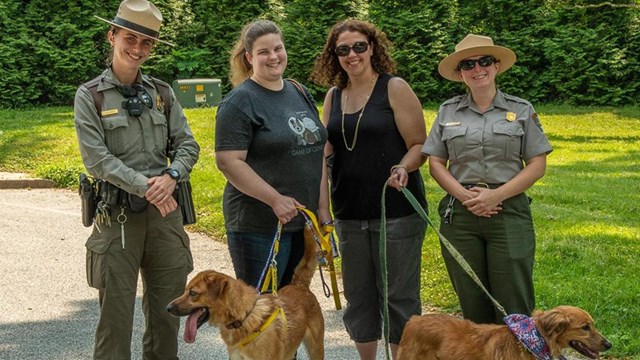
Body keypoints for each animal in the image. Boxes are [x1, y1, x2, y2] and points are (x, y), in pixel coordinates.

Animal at [166, 225, 324, 360]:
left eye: (192, 293)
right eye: (185, 290)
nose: (167, 308)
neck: (243, 318)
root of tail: (299, 285)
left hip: (316, 348)